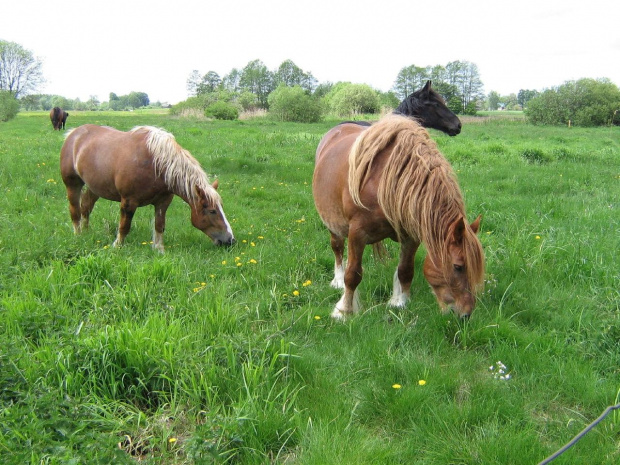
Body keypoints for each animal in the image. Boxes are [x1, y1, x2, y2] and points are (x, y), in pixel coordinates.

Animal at [314, 113, 484, 320]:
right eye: (458, 266)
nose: (465, 314)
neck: (385, 183)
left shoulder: (411, 236)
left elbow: (405, 270)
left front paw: (399, 301)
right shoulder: (357, 233)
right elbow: (353, 274)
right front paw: (344, 311)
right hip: (333, 223)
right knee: (337, 248)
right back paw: (337, 280)